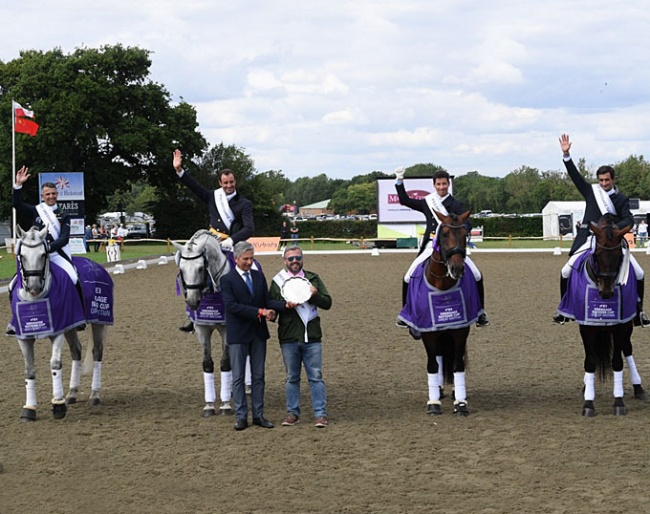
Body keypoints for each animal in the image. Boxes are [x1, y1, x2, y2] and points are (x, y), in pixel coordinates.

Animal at [9, 226, 114, 418]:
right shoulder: (23, 336)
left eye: (43, 254)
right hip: (71, 326)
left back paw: (94, 395)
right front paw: (29, 409)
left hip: (99, 321)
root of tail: (95, 265)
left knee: (97, 352)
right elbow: (29, 369)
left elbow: (55, 364)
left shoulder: (57, 331)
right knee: (76, 351)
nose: (34, 287)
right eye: (22, 255)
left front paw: (58, 404)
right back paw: (72, 393)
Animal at [171, 228, 234, 416]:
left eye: (200, 268)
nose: (192, 301)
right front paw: (209, 405)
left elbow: (226, 363)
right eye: (181, 269)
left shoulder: (227, 329)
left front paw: (225, 405)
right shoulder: (202, 329)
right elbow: (207, 364)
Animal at [394, 210, 480, 414]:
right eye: (444, 235)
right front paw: (433, 403)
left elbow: (458, 364)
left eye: (465, 235)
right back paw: (439, 390)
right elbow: (432, 365)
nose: (457, 269)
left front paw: (460, 403)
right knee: (439, 356)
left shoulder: (461, 329)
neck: (443, 285)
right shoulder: (428, 330)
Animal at [556, 213, 640, 416]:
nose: (606, 292)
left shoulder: (620, 326)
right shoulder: (586, 326)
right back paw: (586, 387)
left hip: (628, 326)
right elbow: (590, 362)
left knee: (627, 349)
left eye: (619, 255)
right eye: (596, 254)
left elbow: (617, 361)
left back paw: (639, 388)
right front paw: (588, 403)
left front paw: (619, 402)